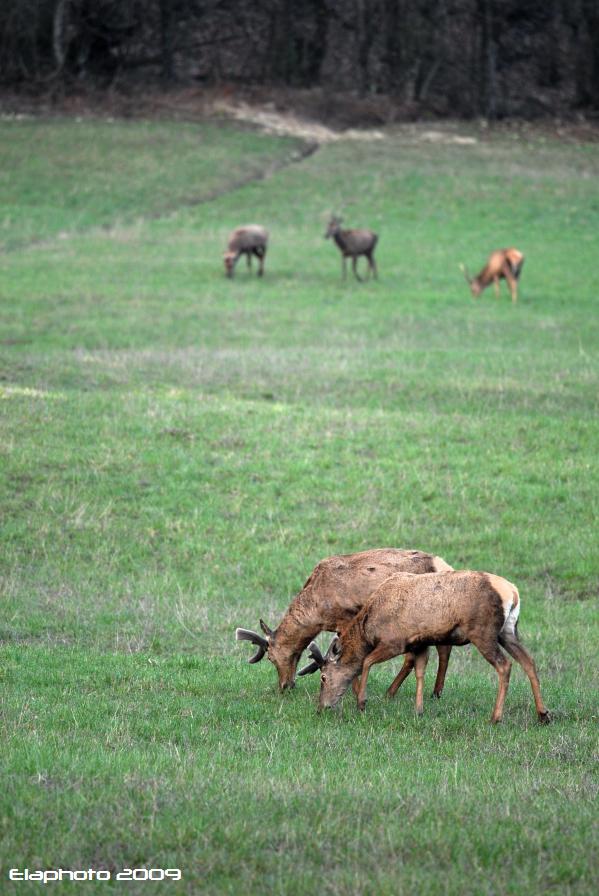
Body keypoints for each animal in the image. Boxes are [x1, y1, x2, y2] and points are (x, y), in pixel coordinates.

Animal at [237, 544, 452, 692]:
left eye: (271, 658)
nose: (285, 685)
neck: (317, 610)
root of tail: (443, 565)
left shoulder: (347, 619)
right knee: (441, 648)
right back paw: (434, 692)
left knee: (418, 655)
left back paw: (396, 692)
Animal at [316, 572, 552, 724]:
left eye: (324, 677)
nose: (321, 707)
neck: (368, 627)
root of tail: (512, 593)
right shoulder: (419, 643)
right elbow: (420, 671)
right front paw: (419, 710)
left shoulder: (394, 641)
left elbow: (366, 661)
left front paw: (362, 703)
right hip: (509, 631)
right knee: (528, 660)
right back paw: (543, 714)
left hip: (483, 632)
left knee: (505, 665)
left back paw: (495, 717)